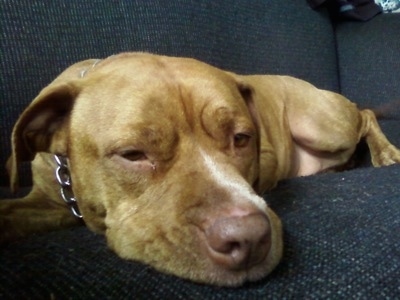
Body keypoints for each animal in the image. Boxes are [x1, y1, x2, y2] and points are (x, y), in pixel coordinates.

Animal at [2, 52, 400, 286]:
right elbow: (10, 212)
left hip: (321, 123)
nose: (248, 238)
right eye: (132, 154)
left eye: (242, 138)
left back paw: (386, 153)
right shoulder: (48, 201)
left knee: (364, 115)